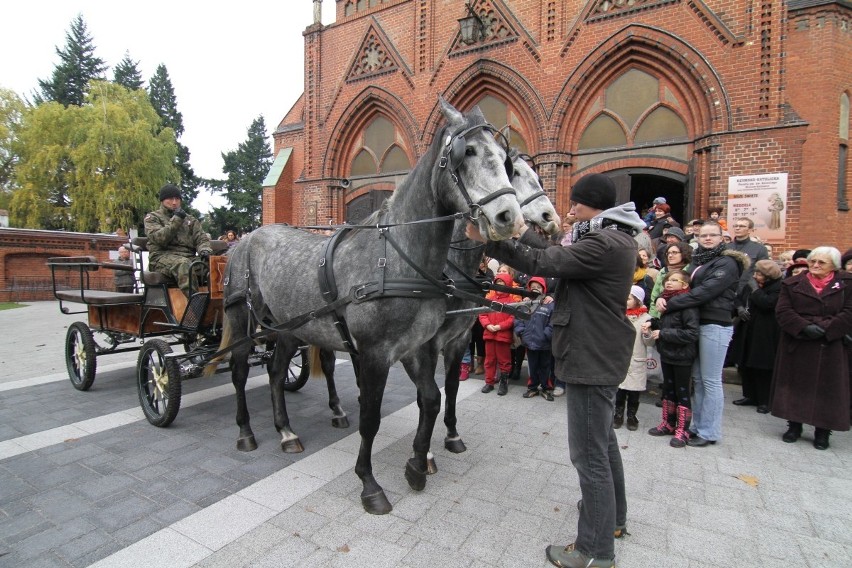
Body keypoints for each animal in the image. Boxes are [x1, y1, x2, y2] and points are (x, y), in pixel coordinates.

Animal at [211, 98, 520, 516]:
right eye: (466, 153)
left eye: (505, 159)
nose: (509, 217)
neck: (398, 260)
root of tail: (247, 238)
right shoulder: (376, 353)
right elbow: (370, 417)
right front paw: (370, 484)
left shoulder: (417, 347)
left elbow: (431, 399)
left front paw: (417, 465)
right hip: (242, 317)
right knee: (241, 372)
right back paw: (246, 432)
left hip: (290, 327)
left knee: (275, 372)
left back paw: (286, 431)